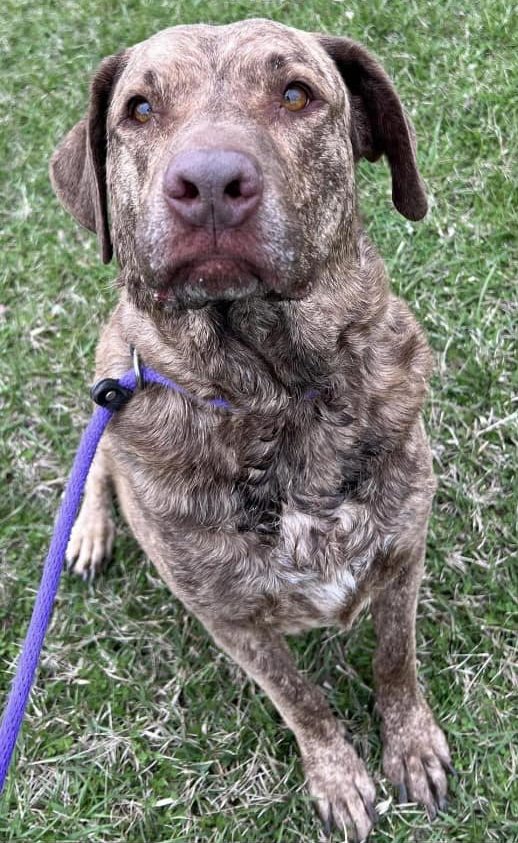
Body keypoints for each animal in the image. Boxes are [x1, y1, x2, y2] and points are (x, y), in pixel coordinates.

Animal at [49, 16, 456, 840]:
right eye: (140, 109)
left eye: (296, 94)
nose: (208, 184)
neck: (278, 399)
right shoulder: (231, 621)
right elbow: (301, 700)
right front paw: (337, 775)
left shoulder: (404, 554)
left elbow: (395, 661)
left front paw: (411, 745)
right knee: (97, 465)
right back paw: (89, 530)